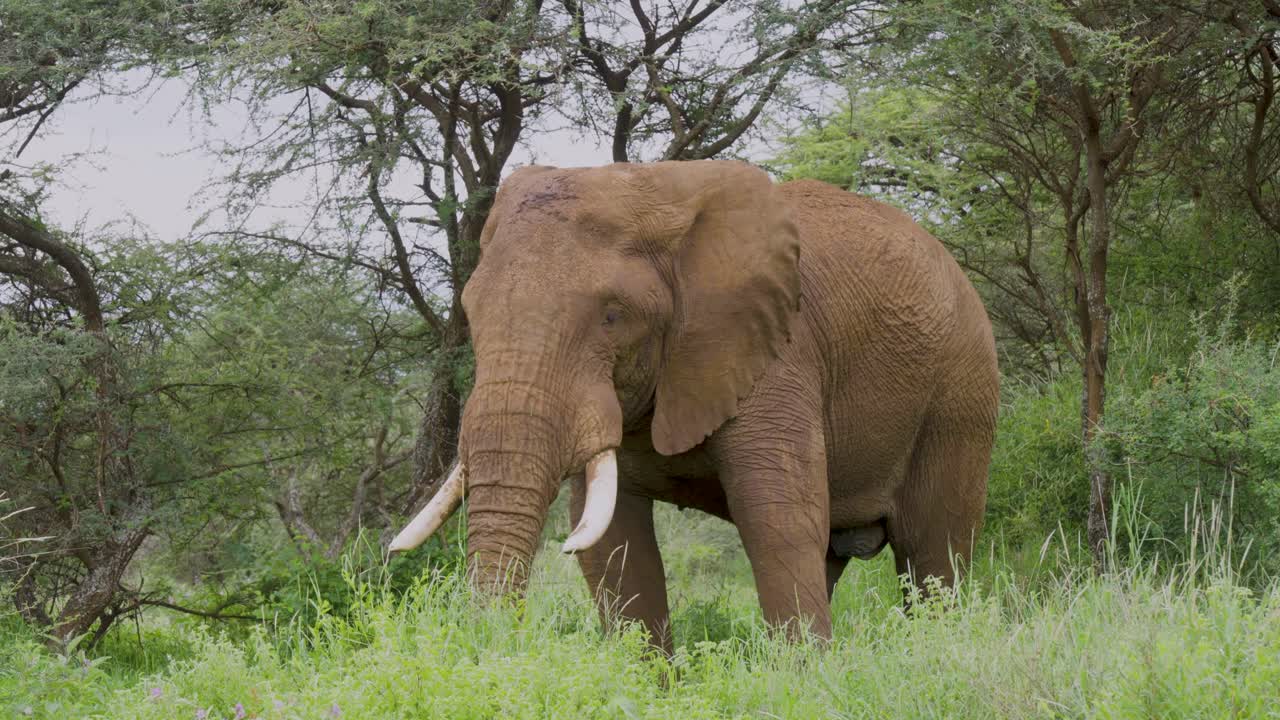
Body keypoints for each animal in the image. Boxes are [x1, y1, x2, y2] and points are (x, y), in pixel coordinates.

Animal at [391, 160, 999, 654]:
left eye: (613, 315)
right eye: (471, 310)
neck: (657, 189)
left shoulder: (776, 351)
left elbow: (778, 520)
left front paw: (804, 683)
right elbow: (613, 546)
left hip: (960, 392)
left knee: (933, 555)